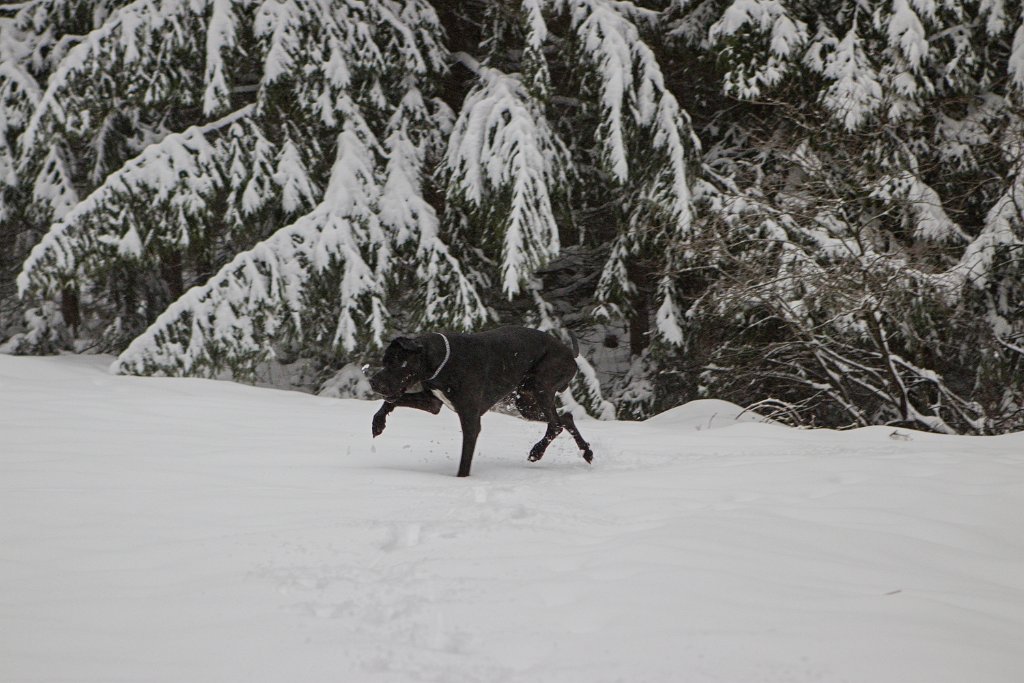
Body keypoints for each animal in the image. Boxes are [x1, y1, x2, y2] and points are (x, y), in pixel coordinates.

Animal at [368, 327, 593, 479]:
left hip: (542, 386)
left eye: (396, 362)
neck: (441, 360)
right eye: (385, 361)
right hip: (525, 403)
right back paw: (587, 452)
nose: (372, 381)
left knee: (555, 424)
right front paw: (378, 423)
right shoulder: (432, 402)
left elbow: (465, 460)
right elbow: (392, 400)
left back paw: (537, 452)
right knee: (565, 418)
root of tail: (570, 353)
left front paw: (462, 480)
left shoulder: (470, 419)